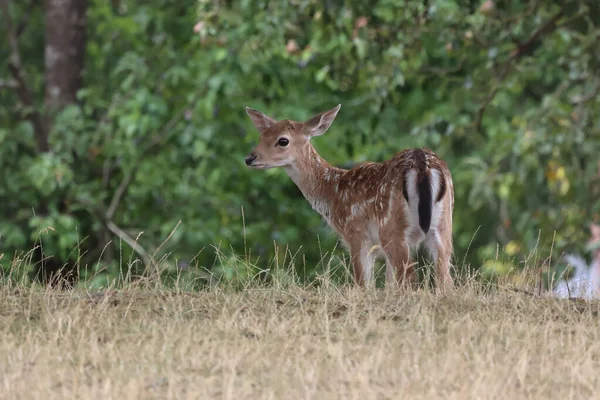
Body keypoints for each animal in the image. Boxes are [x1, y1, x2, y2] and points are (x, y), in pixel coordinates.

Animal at [244, 104, 454, 290]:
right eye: (261, 136)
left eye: (283, 141)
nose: (249, 158)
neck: (333, 192)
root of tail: (422, 165)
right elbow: (388, 284)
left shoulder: (355, 234)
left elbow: (363, 284)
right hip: (443, 225)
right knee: (444, 279)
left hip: (392, 228)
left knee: (410, 277)